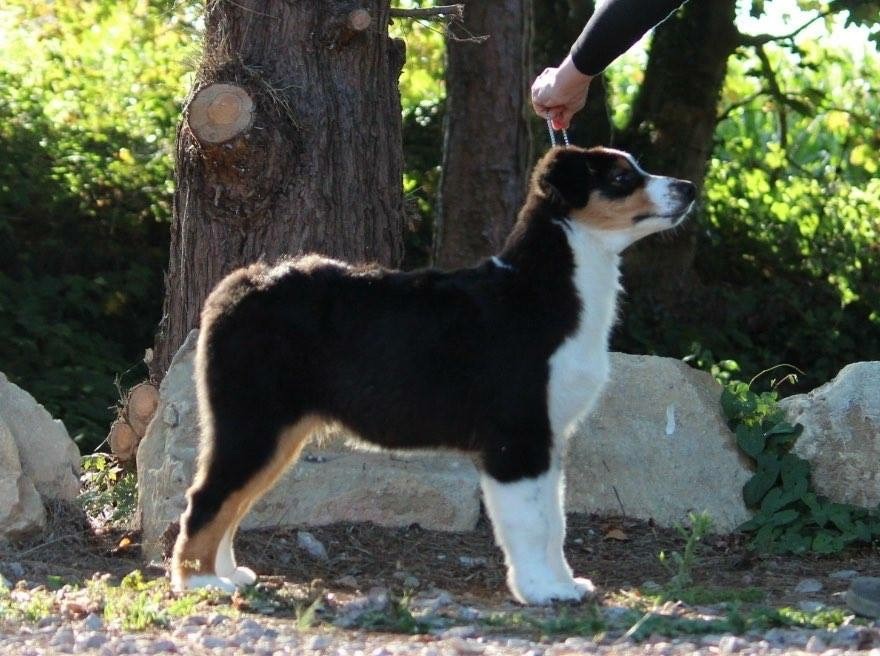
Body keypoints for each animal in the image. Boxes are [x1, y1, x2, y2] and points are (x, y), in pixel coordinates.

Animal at [170, 145, 695, 605]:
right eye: (622, 177)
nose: (689, 187)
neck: (550, 290)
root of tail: (237, 287)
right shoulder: (516, 439)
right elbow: (531, 523)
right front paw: (541, 591)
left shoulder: (549, 440)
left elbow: (555, 520)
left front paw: (564, 584)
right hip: (253, 421)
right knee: (206, 498)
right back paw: (200, 582)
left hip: (274, 433)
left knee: (231, 502)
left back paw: (228, 573)